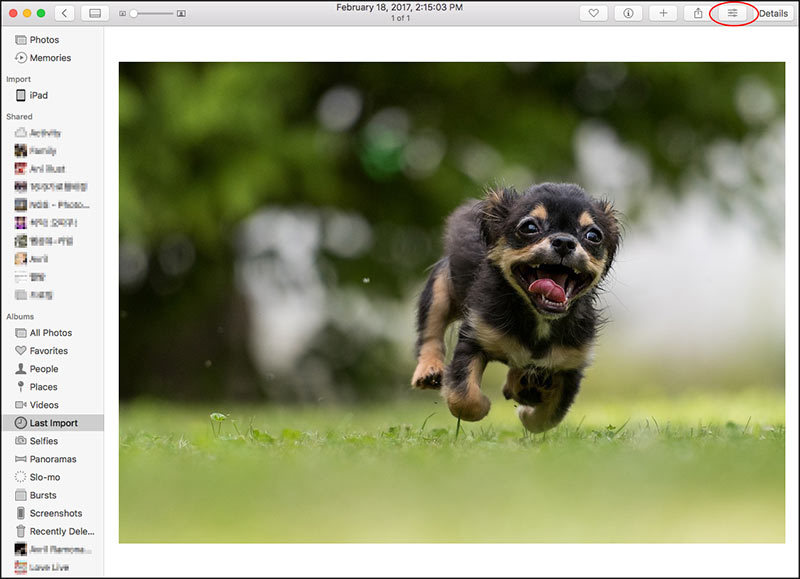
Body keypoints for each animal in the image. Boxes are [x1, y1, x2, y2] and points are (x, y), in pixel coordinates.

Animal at [410, 184, 620, 432]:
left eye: (593, 236)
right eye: (529, 227)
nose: (564, 242)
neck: (538, 318)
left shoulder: (570, 365)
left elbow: (547, 418)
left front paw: (527, 411)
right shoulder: (474, 338)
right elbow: (464, 398)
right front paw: (484, 405)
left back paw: (522, 384)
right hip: (439, 290)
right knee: (430, 333)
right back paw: (429, 370)